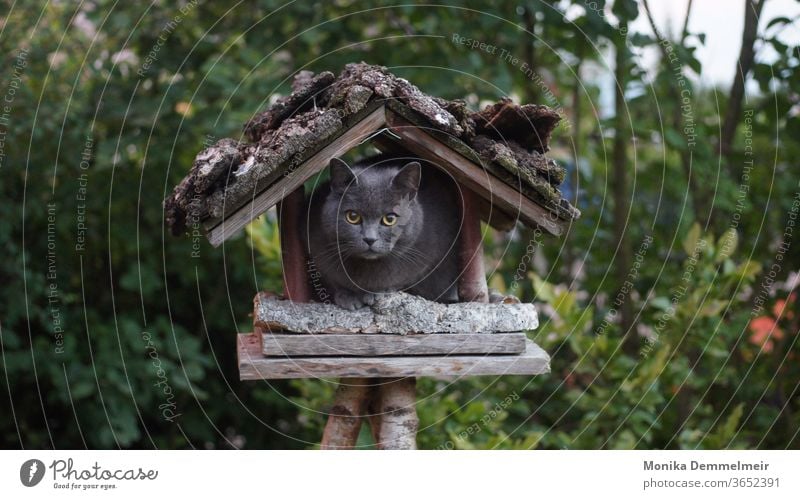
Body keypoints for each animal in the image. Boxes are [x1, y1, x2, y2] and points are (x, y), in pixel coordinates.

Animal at [304, 154, 460, 310]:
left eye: (390, 219)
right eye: (353, 216)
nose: (369, 239)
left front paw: (379, 292)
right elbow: (332, 279)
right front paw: (348, 296)